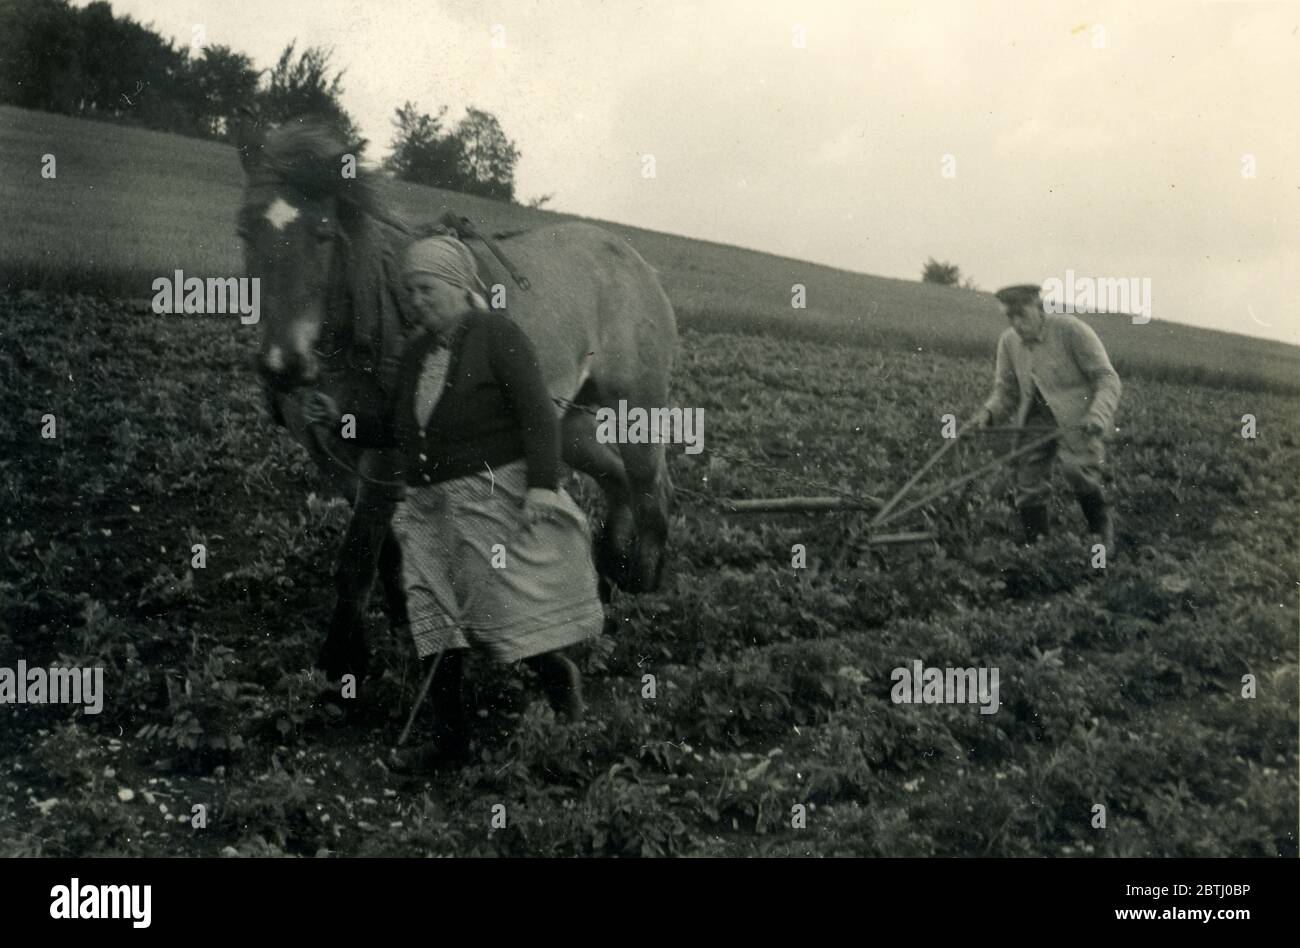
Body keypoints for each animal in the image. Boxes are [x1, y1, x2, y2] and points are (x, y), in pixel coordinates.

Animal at [236, 114, 681, 681]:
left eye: (324, 235)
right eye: (245, 230)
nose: (283, 367)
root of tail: (633, 257)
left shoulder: (384, 458)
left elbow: (357, 556)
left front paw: (342, 663)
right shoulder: (331, 457)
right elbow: (387, 551)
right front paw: (402, 626)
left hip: (638, 406)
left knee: (650, 487)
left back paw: (641, 586)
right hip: (564, 421)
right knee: (617, 478)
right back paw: (606, 582)